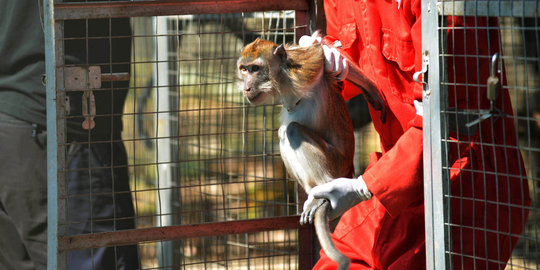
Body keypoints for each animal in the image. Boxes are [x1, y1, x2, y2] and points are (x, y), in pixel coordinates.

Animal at [238, 38, 386, 270]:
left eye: (255, 69)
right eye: (243, 69)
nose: (246, 87)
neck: (281, 81)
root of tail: (349, 169)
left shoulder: (303, 69)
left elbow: (322, 56)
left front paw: (371, 88)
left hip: (335, 161)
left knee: (291, 131)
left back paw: (325, 192)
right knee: (284, 133)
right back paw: (314, 195)